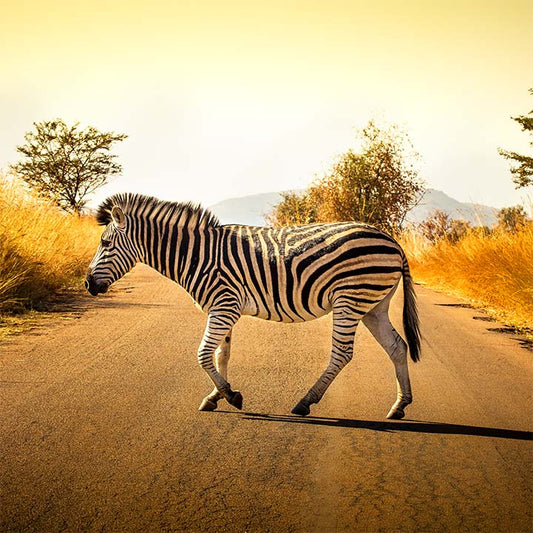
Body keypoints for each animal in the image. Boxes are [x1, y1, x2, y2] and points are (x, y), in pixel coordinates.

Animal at [86, 193, 420, 418]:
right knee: (397, 346)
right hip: (373, 305)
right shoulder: (223, 308)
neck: (195, 254)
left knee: (342, 354)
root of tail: (392, 241)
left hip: (350, 299)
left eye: (105, 244)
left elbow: (203, 354)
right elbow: (220, 355)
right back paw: (399, 406)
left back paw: (305, 402)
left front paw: (231, 395)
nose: (88, 285)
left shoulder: (224, 306)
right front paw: (215, 396)